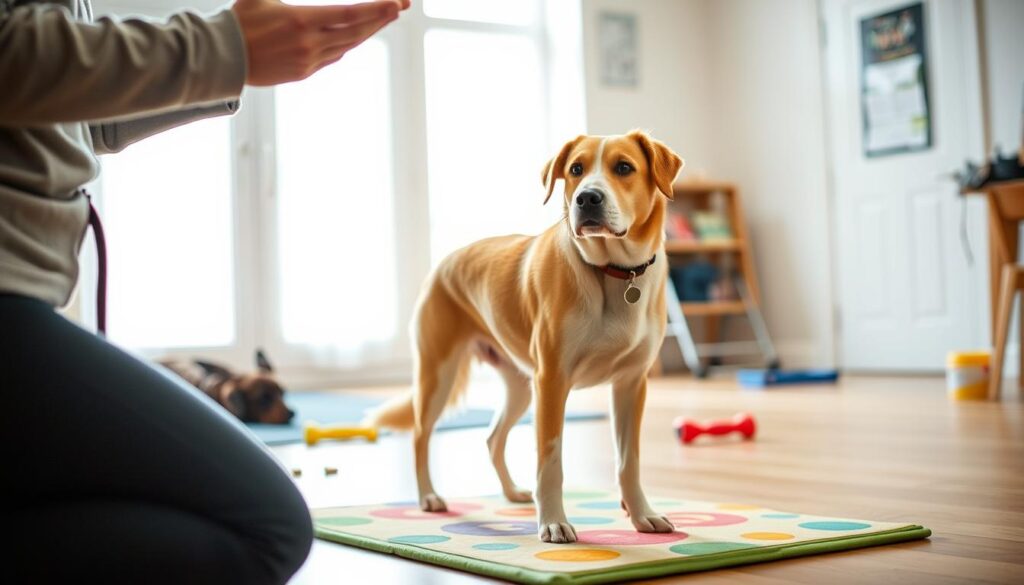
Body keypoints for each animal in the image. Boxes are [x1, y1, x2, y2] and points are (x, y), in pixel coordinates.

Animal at [368, 130, 679, 540]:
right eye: (576, 169)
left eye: (624, 167)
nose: (587, 198)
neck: (614, 271)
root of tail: (445, 262)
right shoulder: (552, 380)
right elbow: (550, 460)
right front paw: (553, 521)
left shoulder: (631, 382)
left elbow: (630, 460)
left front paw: (642, 513)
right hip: (439, 374)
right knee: (421, 435)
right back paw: (429, 497)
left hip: (519, 386)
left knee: (492, 438)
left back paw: (512, 492)